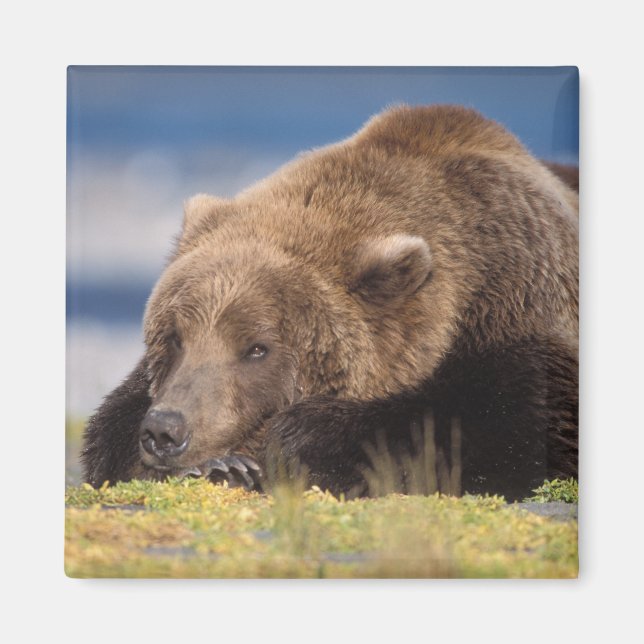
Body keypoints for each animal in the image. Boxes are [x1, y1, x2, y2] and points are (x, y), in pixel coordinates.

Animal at [81, 105, 578, 501]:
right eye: (174, 337)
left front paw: (290, 444)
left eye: (257, 348)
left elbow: (508, 424)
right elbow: (109, 431)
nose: (166, 430)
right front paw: (218, 464)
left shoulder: (521, 310)